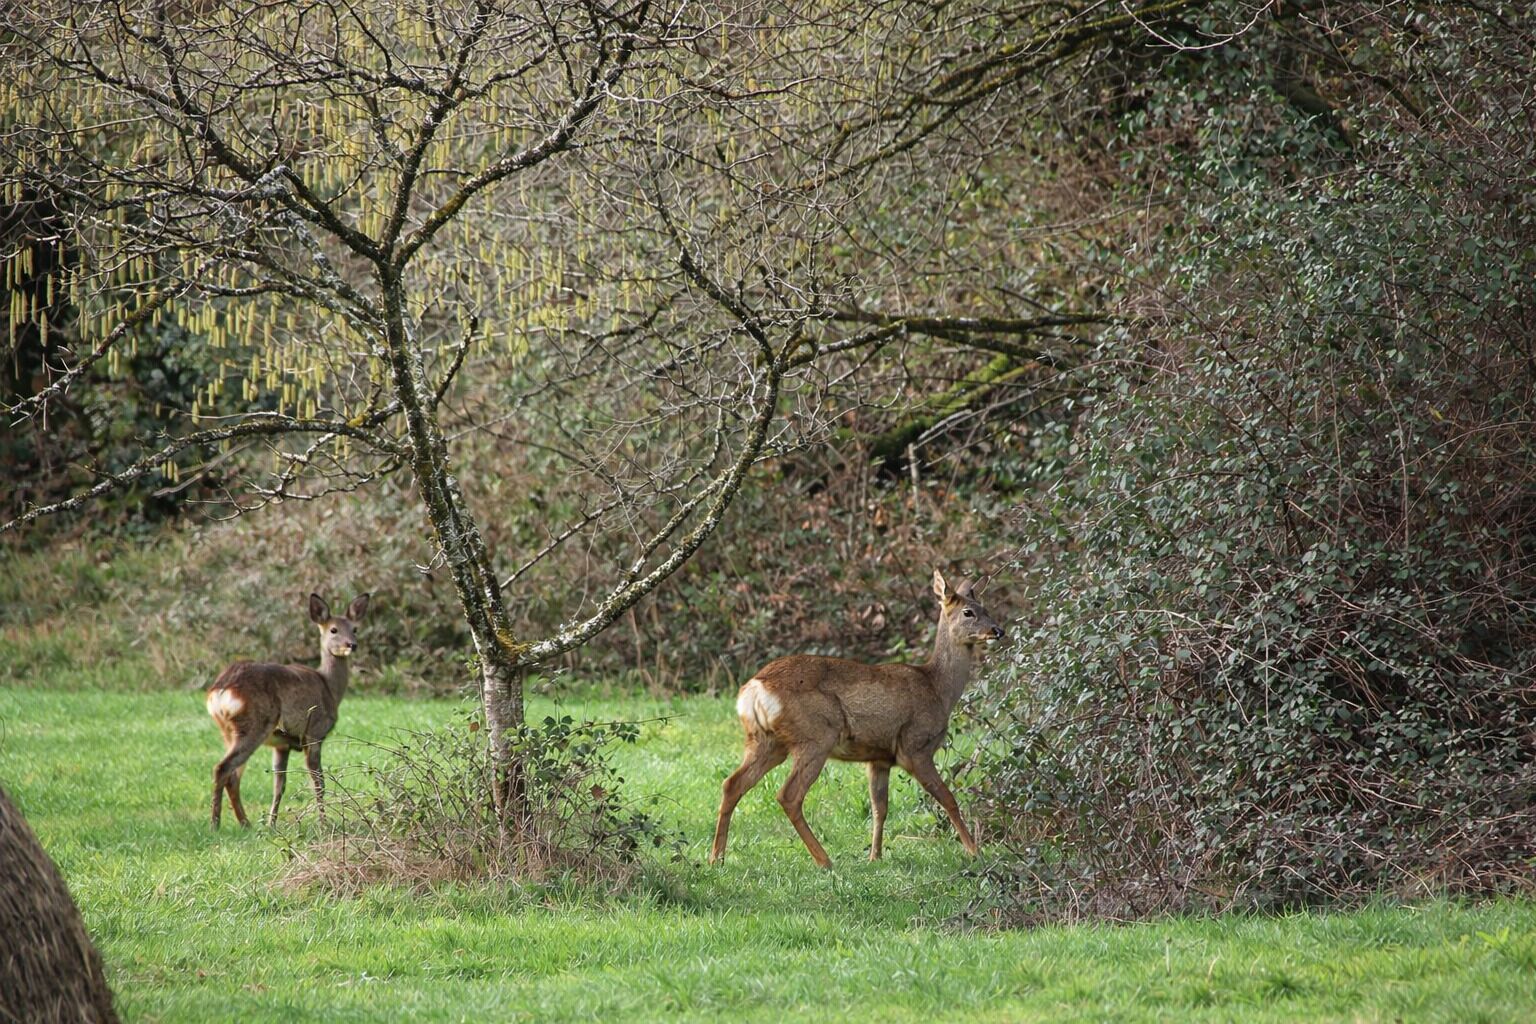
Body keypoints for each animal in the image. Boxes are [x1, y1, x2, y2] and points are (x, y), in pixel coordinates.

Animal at [205, 592, 369, 828]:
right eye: (333, 630)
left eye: (355, 628)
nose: (352, 644)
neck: (329, 688)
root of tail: (221, 690)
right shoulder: (314, 733)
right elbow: (318, 782)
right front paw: (324, 823)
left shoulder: (282, 745)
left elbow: (279, 786)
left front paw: (271, 823)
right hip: (255, 724)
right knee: (222, 768)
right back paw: (216, 824)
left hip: (228, 731)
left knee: (233, 776)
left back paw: (245, 823)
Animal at [710, 570, 1003, 868]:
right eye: (968, 612)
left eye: (986, 608)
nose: (997, 631)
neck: (937, 688)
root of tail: (754, 689)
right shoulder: (915, 746)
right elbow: (948, 799)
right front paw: (975, 852)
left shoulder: (879, 759)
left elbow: (879, 808)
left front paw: (875, 856)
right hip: (816, 736)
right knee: (788, 795)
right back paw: (824, 860)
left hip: (765, 741)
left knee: (732, 784)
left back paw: (716, 858)